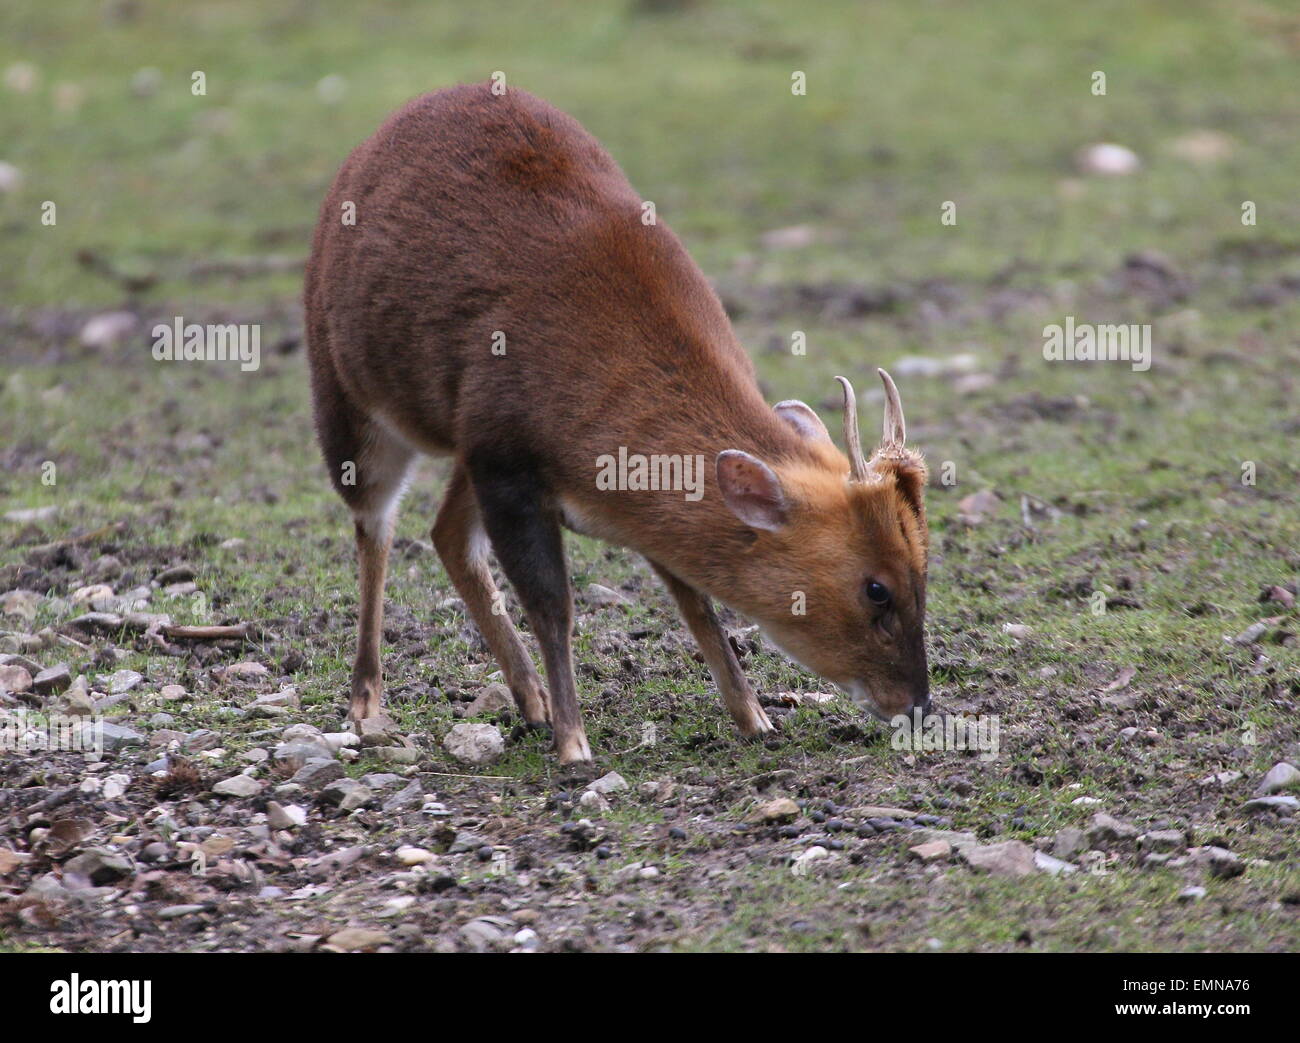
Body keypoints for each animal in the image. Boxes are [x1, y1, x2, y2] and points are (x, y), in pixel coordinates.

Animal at [304, 83, 935, 764]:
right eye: (876, 589)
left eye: (925, 570)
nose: (919, 707)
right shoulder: (505, 459)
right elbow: (553, 605)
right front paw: (574, 746)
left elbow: (695, 600)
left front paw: (755, 718)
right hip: (347, 400)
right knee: (376, 525)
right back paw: (367, 704)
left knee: (446, 534)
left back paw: (529, 700)